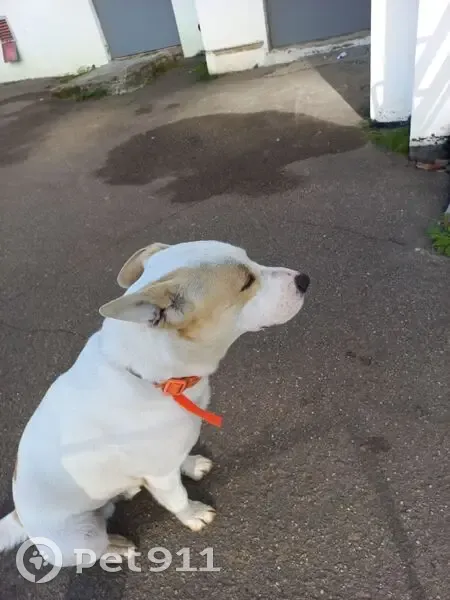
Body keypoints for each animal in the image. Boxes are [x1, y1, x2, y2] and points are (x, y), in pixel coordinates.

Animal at [0, 240, 310, 566]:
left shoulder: (168, 456)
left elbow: (181, 459)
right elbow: (178, 499)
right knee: (96, 548)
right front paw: (193, 515)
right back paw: (117, 547)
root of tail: (21, 517)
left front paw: (192, 464)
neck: (160, 378)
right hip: (82, 537)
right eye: (246, 283)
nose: (304, 279)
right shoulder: (161, 475)